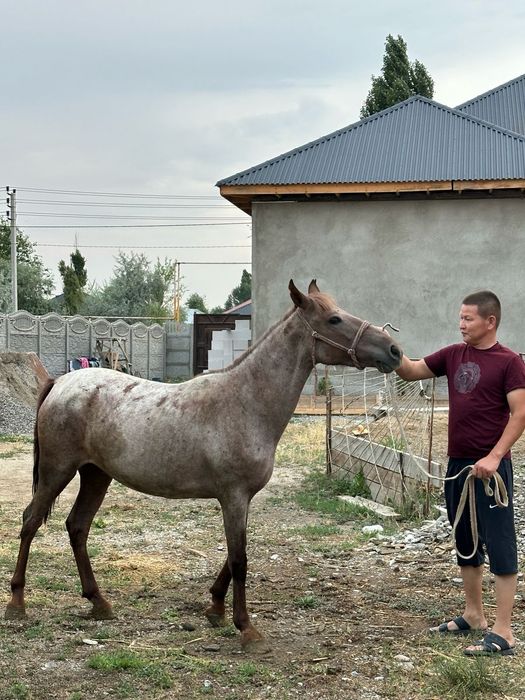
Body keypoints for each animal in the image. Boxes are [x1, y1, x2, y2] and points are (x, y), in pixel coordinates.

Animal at [5, 279, 402, 650]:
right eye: (334, 319)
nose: (394, 350)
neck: (246, 401)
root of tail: (58, 383)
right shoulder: (234, 495)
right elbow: (240, 559)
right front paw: (246, 628)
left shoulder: (242, 498)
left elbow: (233, 553)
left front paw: (215, 608)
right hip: (58, 471)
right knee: (30, 522)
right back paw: (17, 604)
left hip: (96, 475)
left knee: (77, 526)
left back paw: (98, 602)